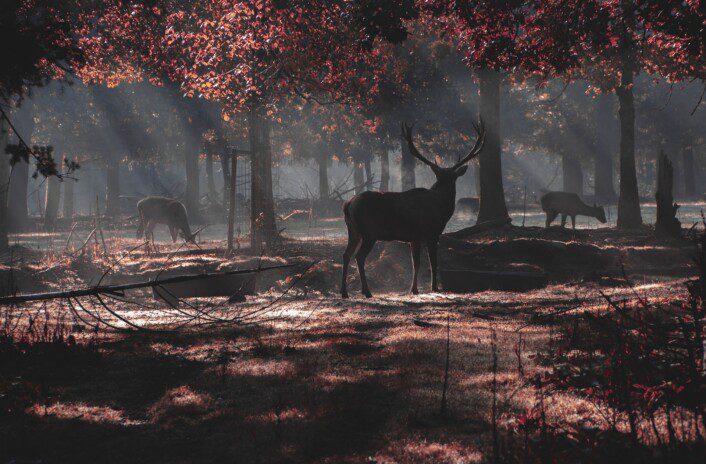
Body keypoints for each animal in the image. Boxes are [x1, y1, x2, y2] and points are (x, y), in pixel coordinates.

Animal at [340, 120, 485, 298]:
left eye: (451, 177)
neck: (442, 208)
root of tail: (348, 204)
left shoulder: (414, 237)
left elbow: (415, 263)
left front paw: (414, 289)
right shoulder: (432, 233)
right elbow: (432, 262)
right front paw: (434, 287)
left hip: (353, 230)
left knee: (346, 254)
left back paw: (344, 292)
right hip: (369, 232)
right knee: (359, 257)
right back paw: (366, 291)